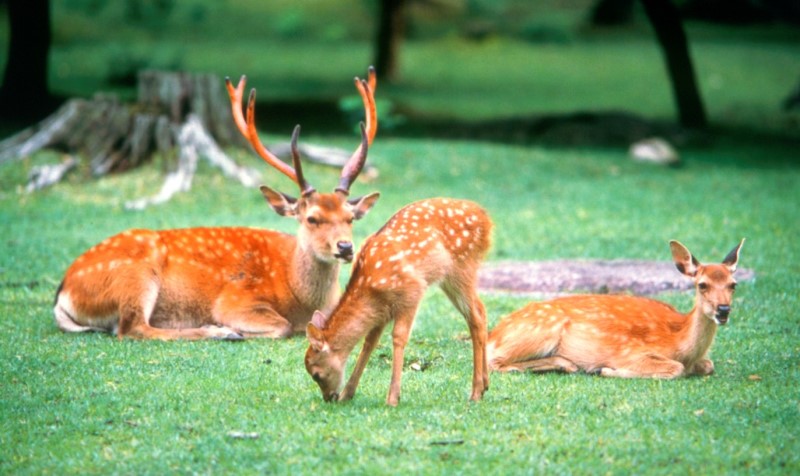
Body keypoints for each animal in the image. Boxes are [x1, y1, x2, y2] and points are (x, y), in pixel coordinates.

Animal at [53, 68, 382, 342]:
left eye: (351, 217)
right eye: (312, 218)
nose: (345, 247)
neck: (299, 296)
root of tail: (63, 292)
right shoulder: (235, 300)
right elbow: (282, 326)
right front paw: (234, 328)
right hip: (134, 275)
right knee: (131, 328)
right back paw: (220, 332)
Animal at [304, 197, 494, 406]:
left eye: (316, 374)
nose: (329, 397)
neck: (370, 287)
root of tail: (486, 220)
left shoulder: (411, 292)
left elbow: (399, 337)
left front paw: (393, 398)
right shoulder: (381, 310)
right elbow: (369, 342)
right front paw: (348, 393)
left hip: (462, 267)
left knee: (476, 317)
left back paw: (475, 392)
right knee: (481, 311)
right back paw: (485, 385)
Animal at [488, 242, 744, 380]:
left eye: (733, 284)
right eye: (702, 285)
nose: (723, 310)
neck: (680, 342)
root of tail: (494, 334)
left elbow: (708, 365)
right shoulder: (630, 352)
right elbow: (676, 368)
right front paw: (606, 370)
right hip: (541, 330)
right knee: (493, 362)